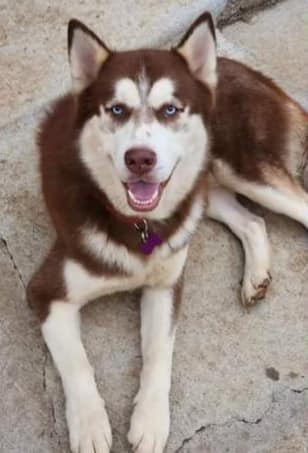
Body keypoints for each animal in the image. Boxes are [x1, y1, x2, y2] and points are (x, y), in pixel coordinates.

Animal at [27, 11, 306, 452]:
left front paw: (151, 420)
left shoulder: (165, 285)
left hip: (240, 169)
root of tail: (245, 69)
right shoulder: (48, 291)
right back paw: (255, 276)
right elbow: (78, 364)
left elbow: (159, 354)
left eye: (171, 109)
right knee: (253, 221)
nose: (140, 158)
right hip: (205, 191)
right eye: (117, 109)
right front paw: (90, 425)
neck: (137, 227)